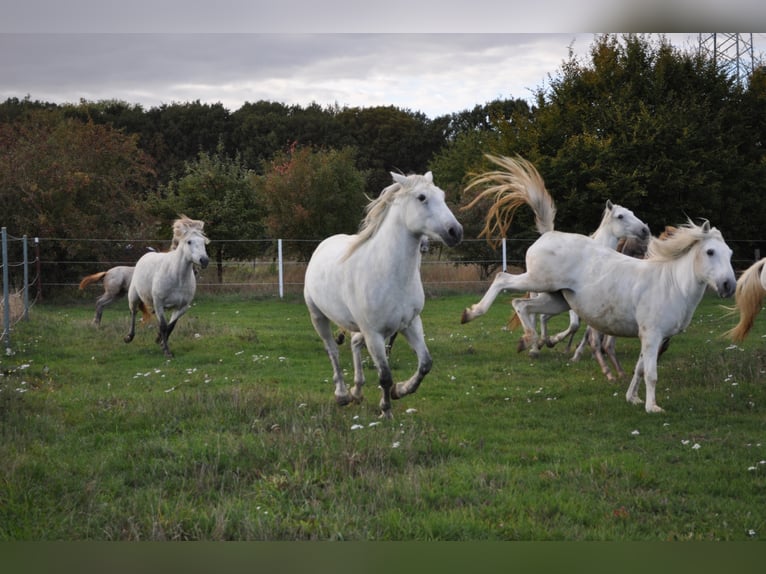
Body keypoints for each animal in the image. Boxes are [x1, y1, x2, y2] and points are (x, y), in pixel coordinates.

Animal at [125, 217, 210, 358]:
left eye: (204, 242)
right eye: (189, 241)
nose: (204, 261)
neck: (177, 278)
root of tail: (145, 256)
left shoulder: (182, 307)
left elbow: (171, 326)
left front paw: (159, 341)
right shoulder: (159, 303)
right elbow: (164, 326)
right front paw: (167, 351)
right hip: (134, 296)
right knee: (133, 312)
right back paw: (129, 337)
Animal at [304, 171, 462, 418]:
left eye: (442, 195)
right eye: (421, 197)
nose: (455, 232)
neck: (389, 272)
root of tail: (323, 245)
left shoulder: (410, 324)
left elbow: (425, 364)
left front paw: (401, 390)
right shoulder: (374, 334)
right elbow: (385, 376)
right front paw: (386, 411)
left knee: (354, 344)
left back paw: (357, 392)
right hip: (318, 316)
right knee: (333, 351)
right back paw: (342, 395)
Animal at [462, 154, 736, 414]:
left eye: (730, 253)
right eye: (710, 252)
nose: (728, 286)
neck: (671, 285)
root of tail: (548, 233)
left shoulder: (653, 338)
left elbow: (638, 369)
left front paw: (632, 398)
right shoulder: (652, 335)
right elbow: (650, 373)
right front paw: (652, 407)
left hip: (556, 299)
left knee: (523, 305)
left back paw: (530, 341)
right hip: (537, 280)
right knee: (503, 280)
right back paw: (474, 314)